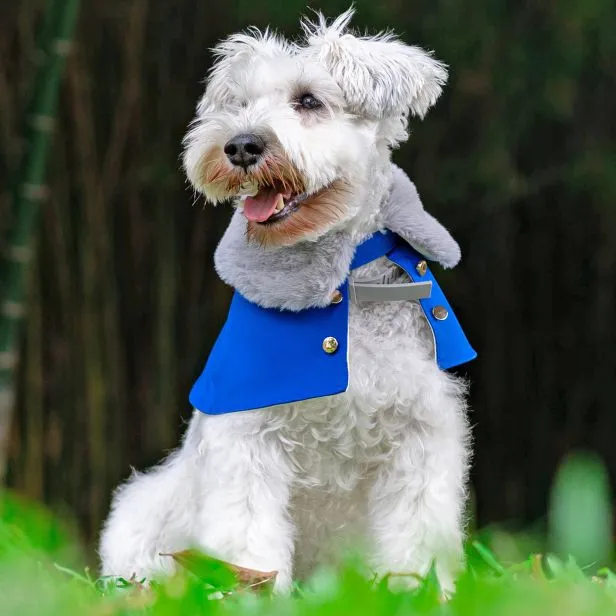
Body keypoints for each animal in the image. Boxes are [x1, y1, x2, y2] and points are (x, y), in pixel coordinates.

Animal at [100, 9, 472, 596]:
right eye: (238, 103)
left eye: (309, 101)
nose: (240, 145)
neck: (342, 284)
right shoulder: (246, 434)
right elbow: (247, 533)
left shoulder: (419, 433)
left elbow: (415, 532)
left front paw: (414, 591)